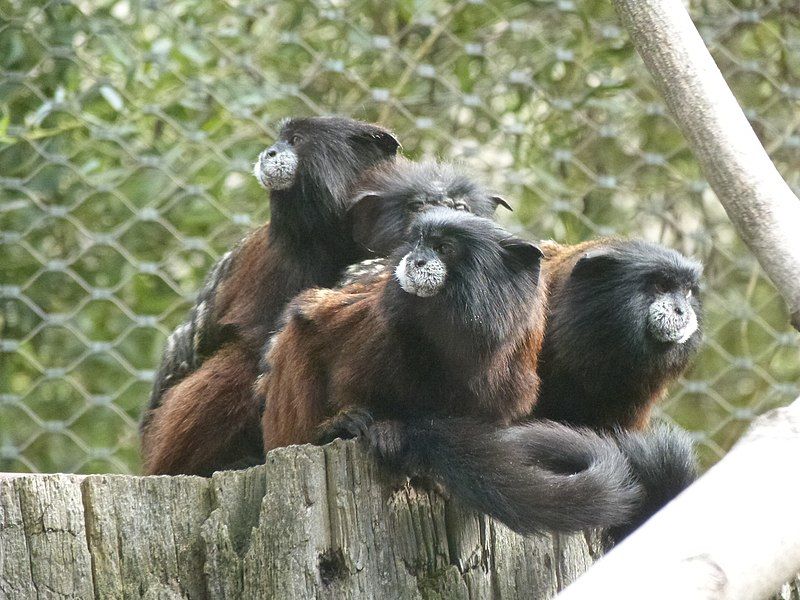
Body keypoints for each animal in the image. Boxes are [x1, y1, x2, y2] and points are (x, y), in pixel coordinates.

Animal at [142, 116, 400, 474]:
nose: (270, 152)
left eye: (295, 140)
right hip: (162, 442)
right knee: (242, 359)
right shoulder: (275, 259)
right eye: (279, 140)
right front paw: (336, 423)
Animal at [258, 212, 656, 536]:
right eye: (419, 243)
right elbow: (310, 320)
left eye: (444, 248)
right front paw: (342, 422)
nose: (415, 259)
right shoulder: (371, 317)